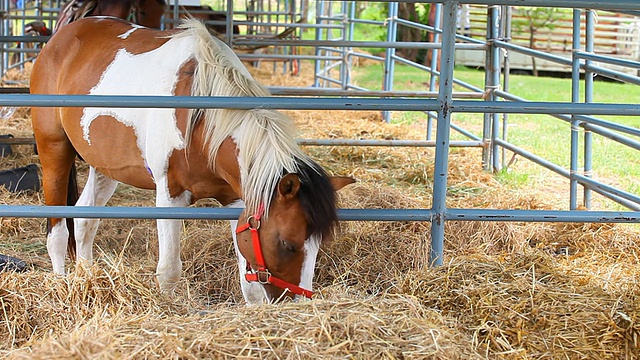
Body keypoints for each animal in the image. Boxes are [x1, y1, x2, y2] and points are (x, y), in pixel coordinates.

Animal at [30, 16, 352, 304]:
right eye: (287, 244)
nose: (295, 303)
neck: (200, 117)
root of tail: (62, 36)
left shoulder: (236, 199)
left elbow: (248, 284)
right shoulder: (169, 195)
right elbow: (169, 270)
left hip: (105, 167)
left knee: (84, 220)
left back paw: (87, 280)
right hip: (54, 151)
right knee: (57, 232)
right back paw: (62, 286)